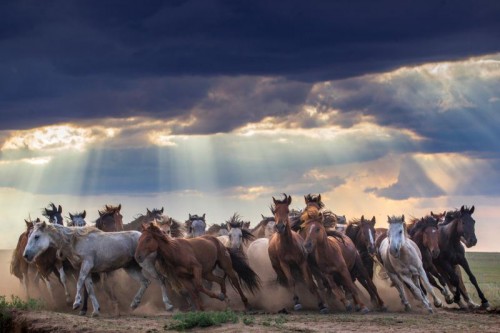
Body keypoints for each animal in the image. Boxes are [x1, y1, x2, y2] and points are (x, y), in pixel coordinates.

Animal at [23, 222, 174, 316]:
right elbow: (89, 288)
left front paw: (76, 303)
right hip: (131, 267)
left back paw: (168, 305)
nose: (26, 255)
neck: (75, 241)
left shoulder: (86, 265)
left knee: (161, 279)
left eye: (36, 236)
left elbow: (80, 282)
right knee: (145, 282)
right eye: (29, 236)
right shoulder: (87, 270)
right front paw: (95, 310)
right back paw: (134, 304)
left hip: (147, 264)